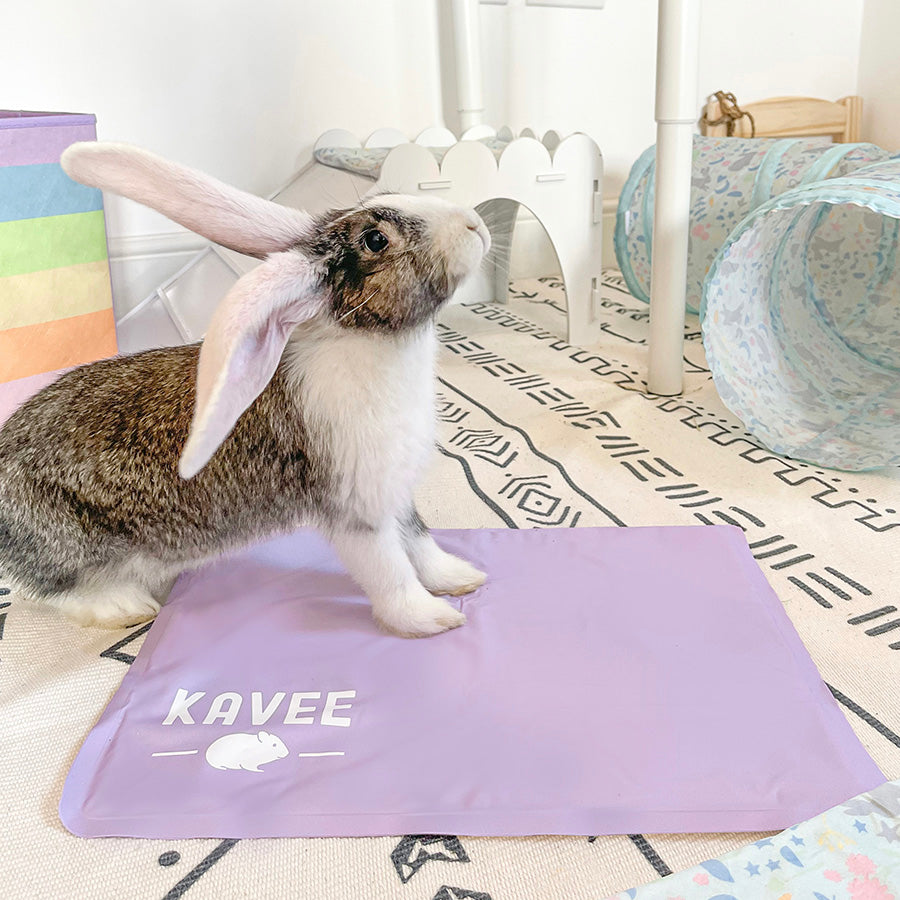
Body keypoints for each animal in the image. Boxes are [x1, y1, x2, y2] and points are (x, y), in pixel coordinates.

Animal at [0, 141, 492, 636]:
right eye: (375, 240)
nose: (476, 223)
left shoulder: (396, 496)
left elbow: (420, 543)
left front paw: (463, 578)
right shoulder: (357, 509)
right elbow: (390, 570)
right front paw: (431, 620)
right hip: (69, 549)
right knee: (51, 592)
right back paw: (126, 607)